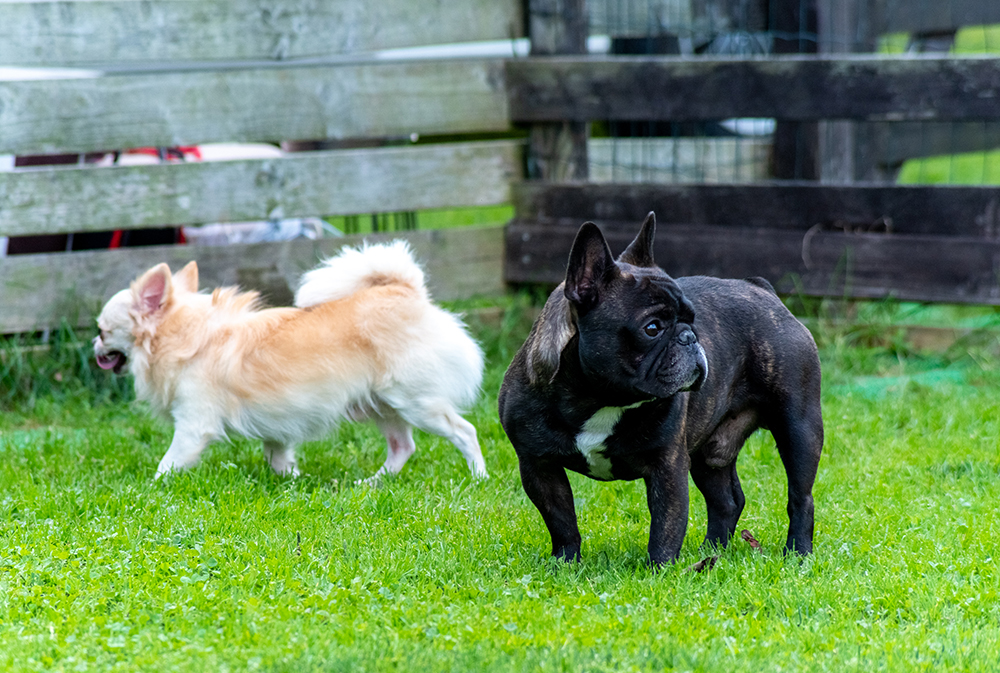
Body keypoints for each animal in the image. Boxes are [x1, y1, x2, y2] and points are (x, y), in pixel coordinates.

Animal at [94, 239, 488, 480]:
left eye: (103, 331)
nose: (94, 345)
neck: (181, 333)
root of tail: (405, 290)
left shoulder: (194, 426)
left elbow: (168, 464)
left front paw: (152, 487)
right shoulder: (276, 429)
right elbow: (279, 456)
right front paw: (294, 481)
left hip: (415, 402)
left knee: (464, 432)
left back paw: (479, 477)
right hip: (381, 405)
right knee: (402, 447)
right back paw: (370, 484)